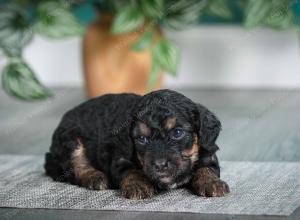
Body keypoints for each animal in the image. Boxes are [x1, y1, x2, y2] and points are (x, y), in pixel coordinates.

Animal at [44, 89, 229, 199]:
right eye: (142, 139)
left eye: (177, 133)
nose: (160, 165)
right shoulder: (119, 156)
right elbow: (130, 170)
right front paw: (138, 185)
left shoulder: (209, 152)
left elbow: (206, 168)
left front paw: (211, 183)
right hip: (70, 140)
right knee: (75, 164)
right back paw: (95, 177)